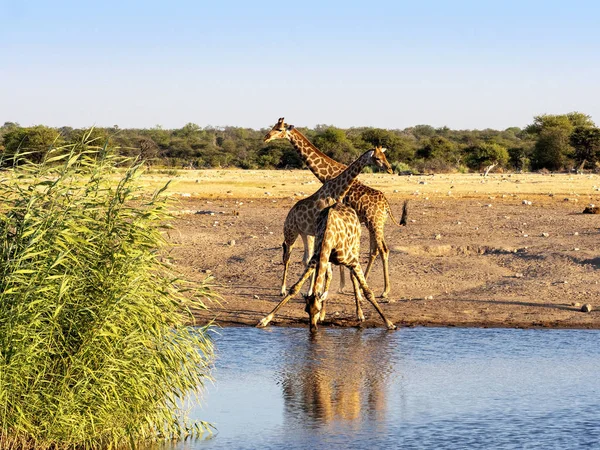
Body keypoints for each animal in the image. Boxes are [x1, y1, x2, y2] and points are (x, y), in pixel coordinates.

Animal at [255, 149, 396, 330]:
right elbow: (299, 286)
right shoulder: (317, 246)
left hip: (369, 229)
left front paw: (387, 322)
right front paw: (266, 318)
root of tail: (386, 203)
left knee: (379, 251)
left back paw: (379, 294)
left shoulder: (347, 257)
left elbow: (364, 289)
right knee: (290, 257)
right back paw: (284, 289)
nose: (390, 169)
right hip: (296, 233)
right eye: (378, 158)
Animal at [266, 118, 410, 298]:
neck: (329, 174)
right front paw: (341, 285)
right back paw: (364, 283)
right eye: (274, 127)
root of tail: (386, 204)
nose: (266, 137)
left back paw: (384, 291)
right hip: (374, 224)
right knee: (374, 251)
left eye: (279, 129)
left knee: (383, 250)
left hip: (375, 223)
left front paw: (339, 285)